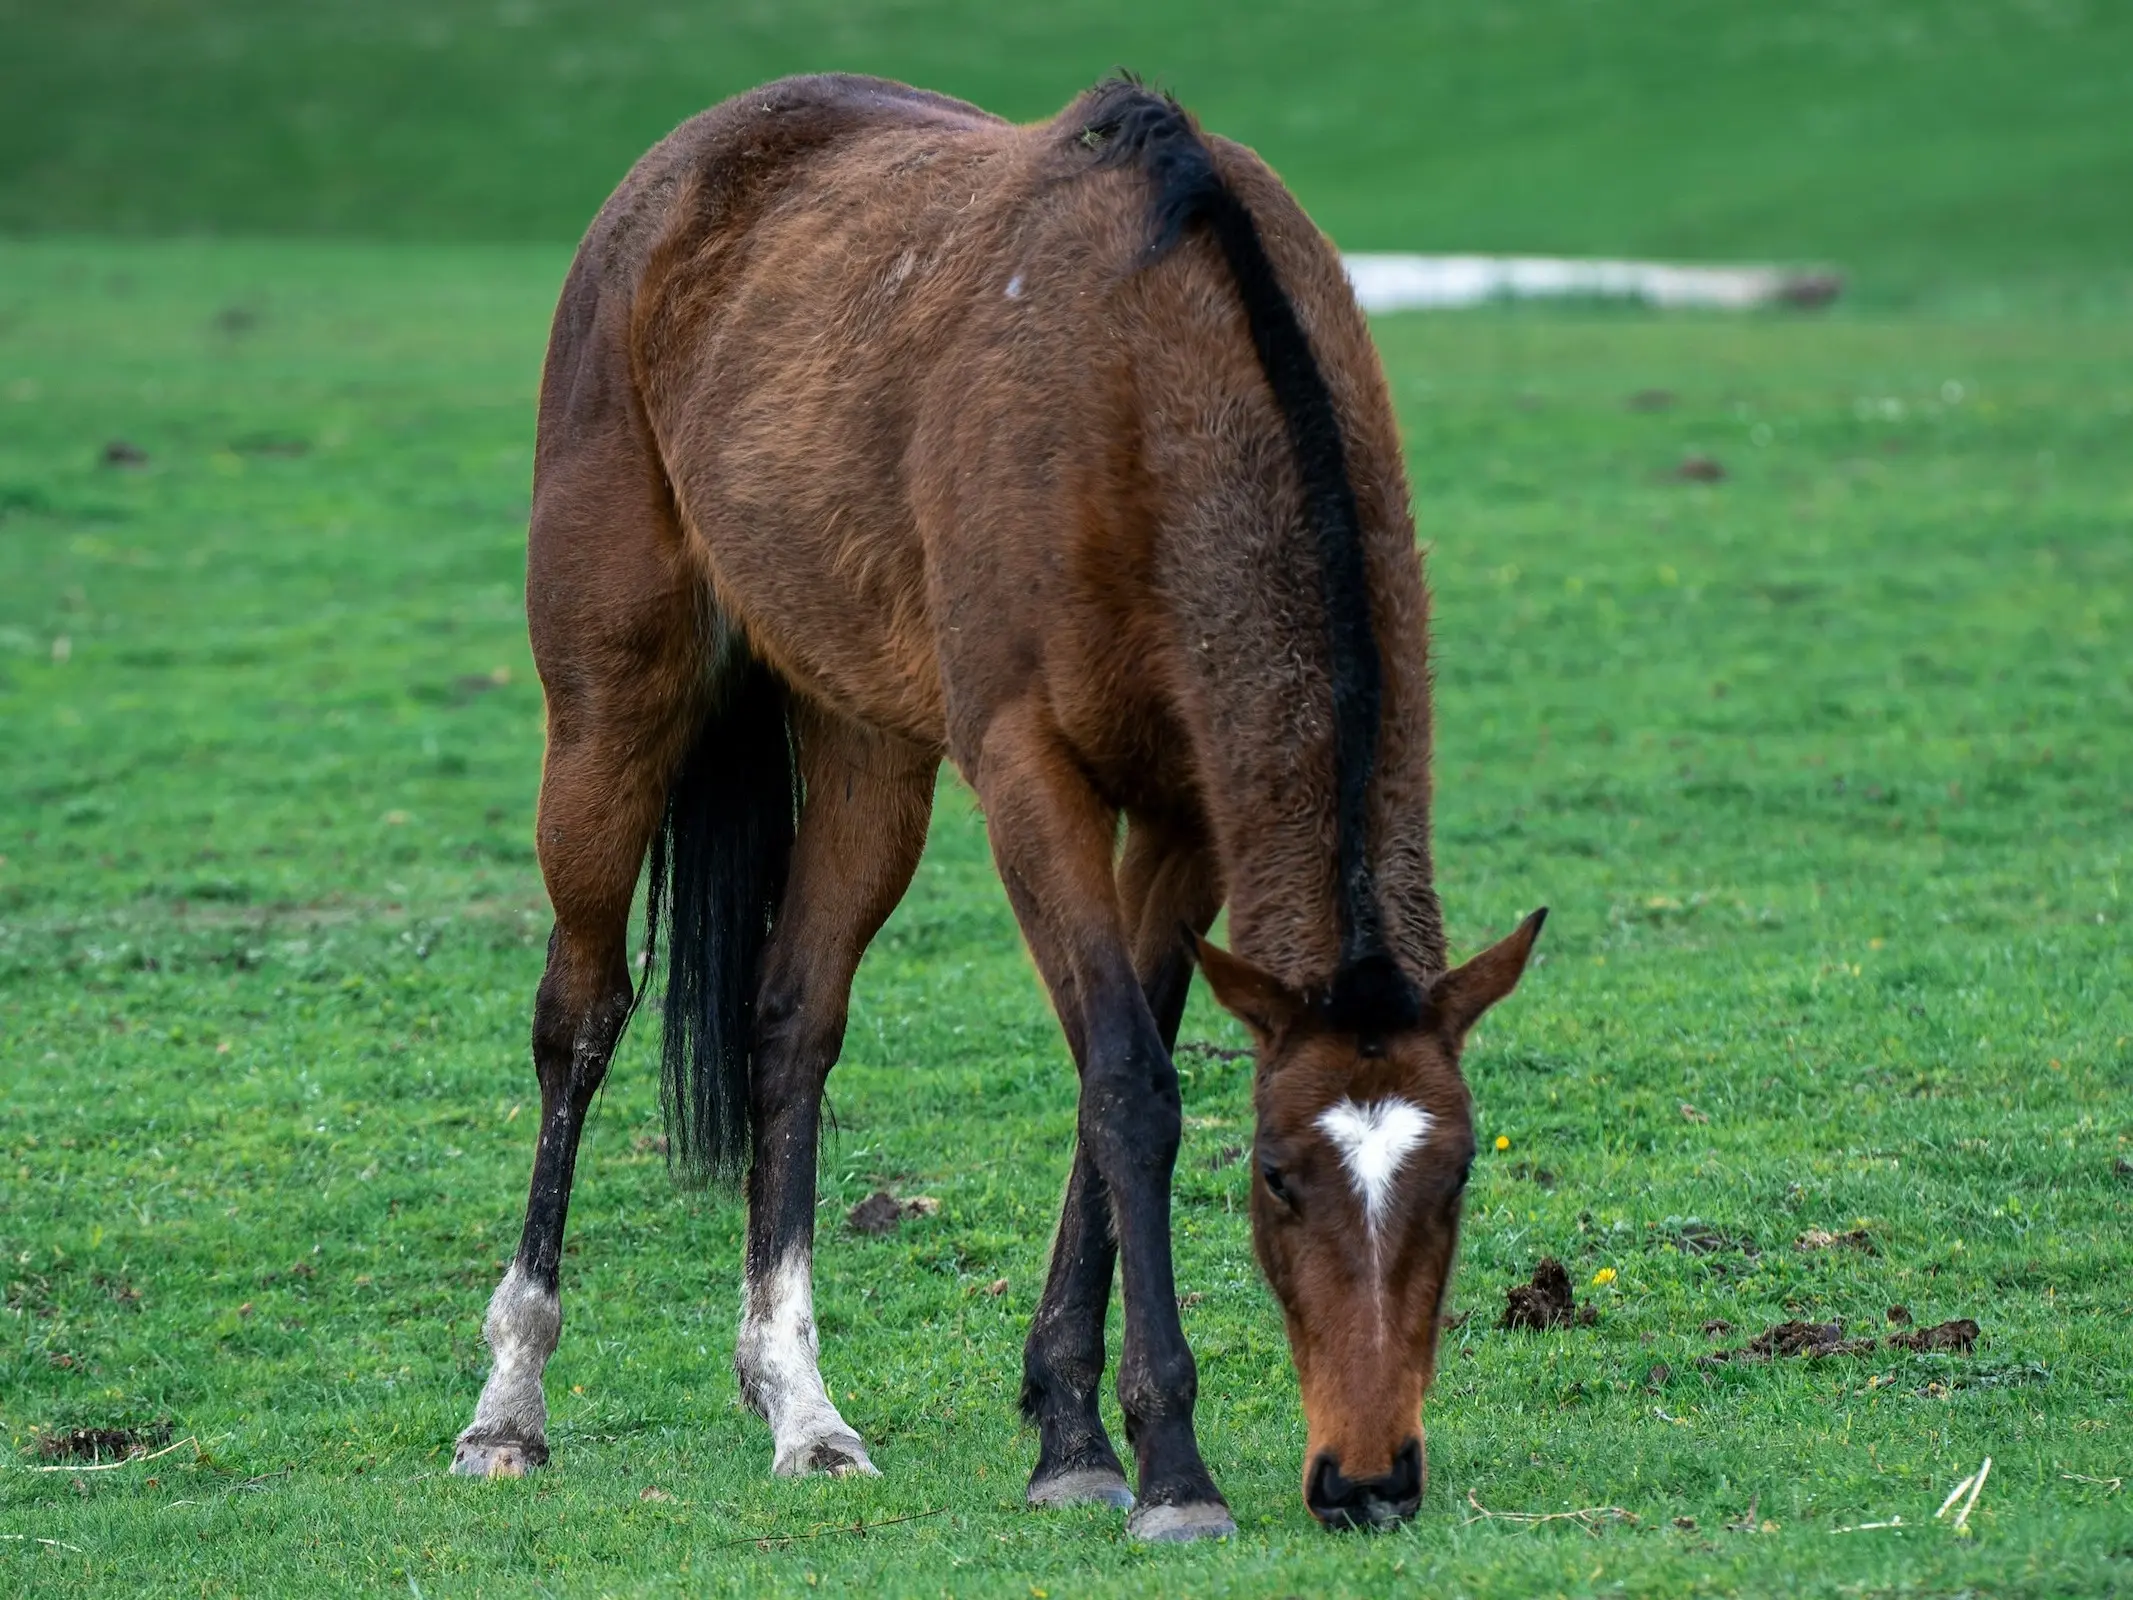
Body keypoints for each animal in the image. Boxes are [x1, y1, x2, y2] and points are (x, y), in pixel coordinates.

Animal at [454, 72, 1552, 1544]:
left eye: (1458, 1174)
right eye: (1277, 1175)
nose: (1370, 1479)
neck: (1155, 381)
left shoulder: (1185, 817)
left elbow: (1117, 1071)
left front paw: (1067, 1420)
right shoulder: (1031, 775)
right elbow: (1131, 1085)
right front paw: (1161, 1463)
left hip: (866, 745)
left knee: (790, 1024)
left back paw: (802, 1407)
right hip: (609, 704)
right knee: (578, 1016)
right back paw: (510, 1405)